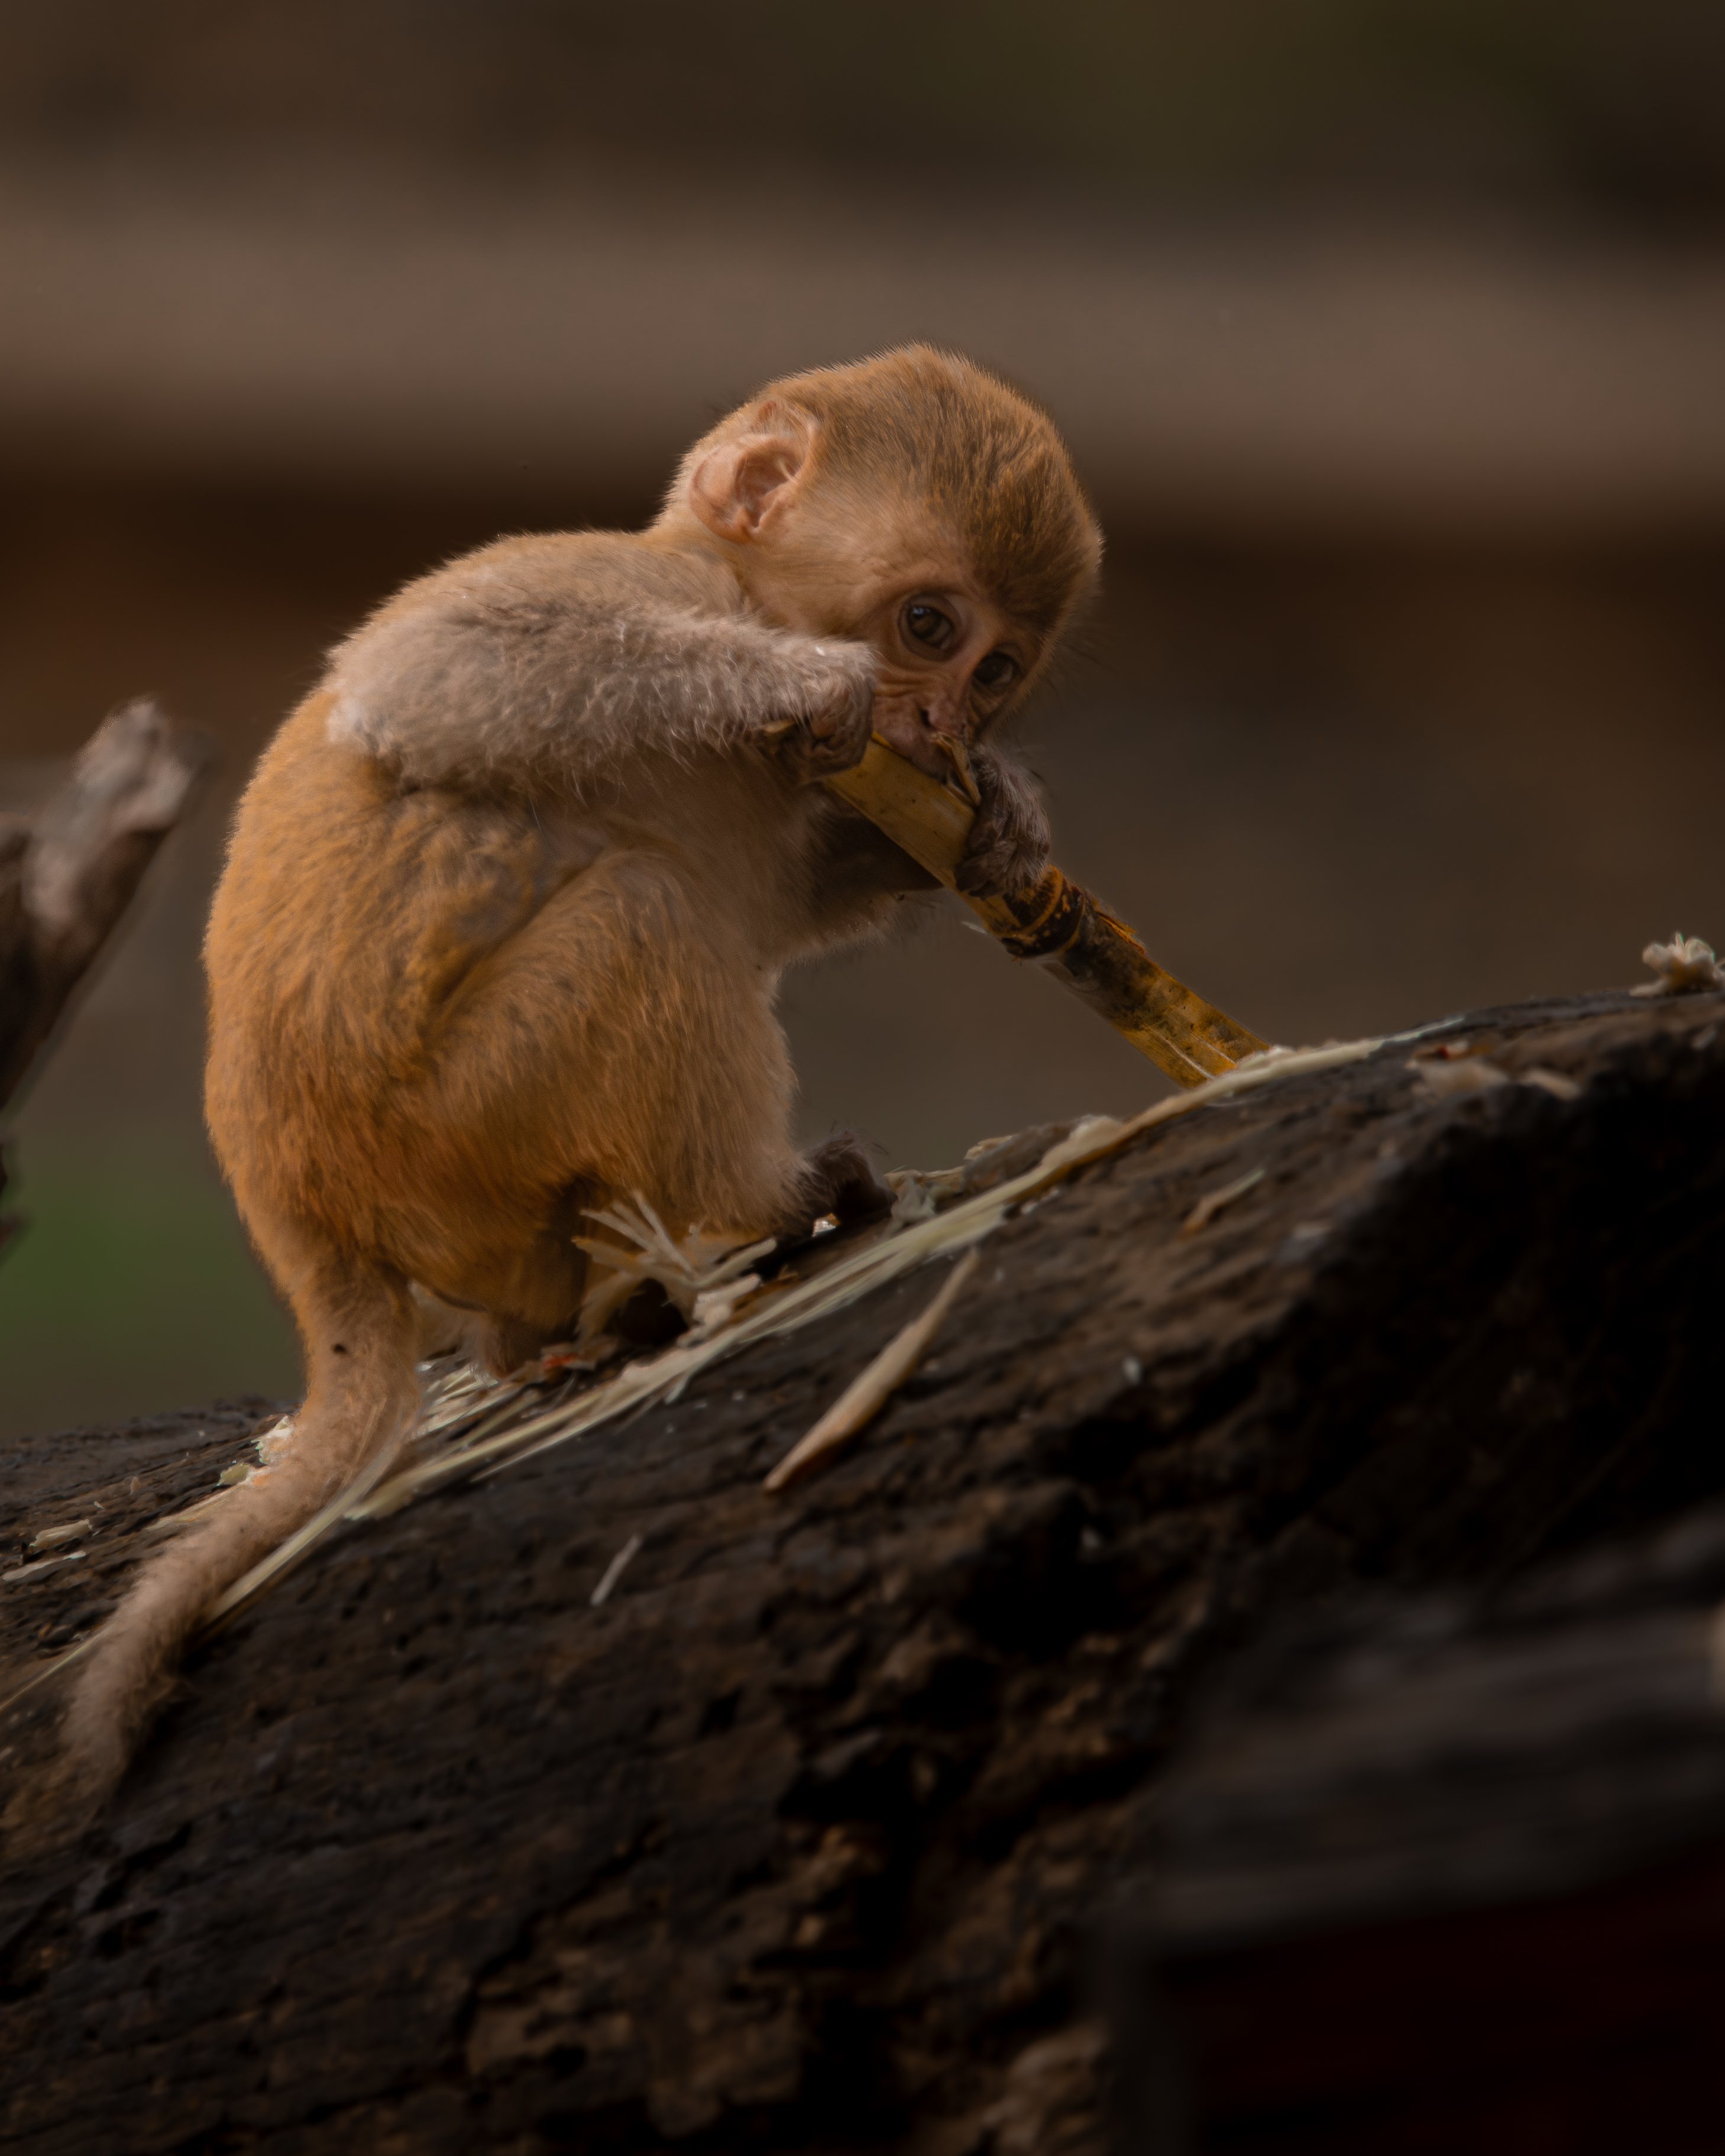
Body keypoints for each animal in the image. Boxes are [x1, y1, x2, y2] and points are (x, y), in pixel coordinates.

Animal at [42, 345, 1102, 1817]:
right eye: (929, 624)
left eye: (997, 668)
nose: (948, 716)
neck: (728, 586)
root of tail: (300, 1213)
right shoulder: (641, 593)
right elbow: (436, 674)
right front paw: (808, 676)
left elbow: (784, 898)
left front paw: (1002, 809)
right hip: (453, 1119)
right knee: (648, 912)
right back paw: (769, 1199)